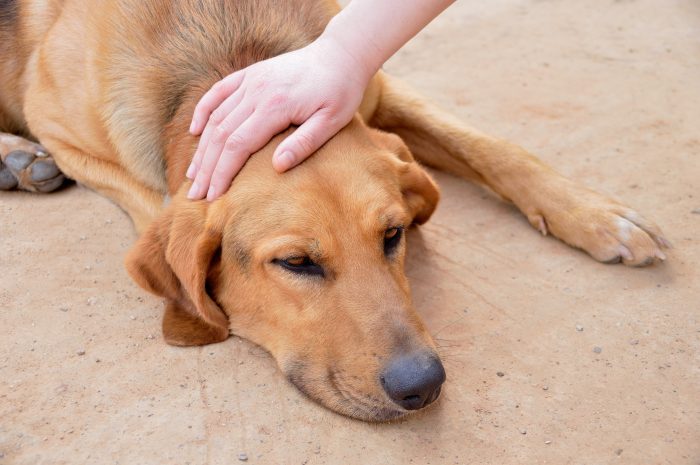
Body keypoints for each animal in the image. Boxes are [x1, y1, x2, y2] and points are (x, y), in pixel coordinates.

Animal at [0, 0, 668, 420]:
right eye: (296, 263)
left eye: (394, 234)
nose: (423, 387)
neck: (231, 57)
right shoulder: (62, 130)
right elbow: (156, 204)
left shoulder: (361, 85)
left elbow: (489, 146)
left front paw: (596, 214)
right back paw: (18, 159)